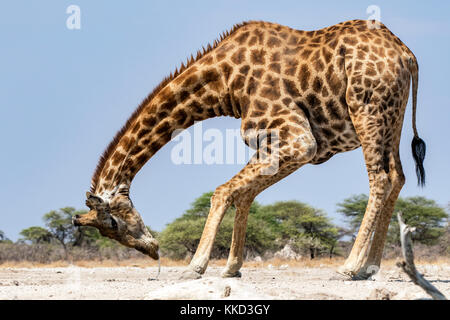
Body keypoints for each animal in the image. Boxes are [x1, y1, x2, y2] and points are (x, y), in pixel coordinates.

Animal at [74, 20, 426, 280]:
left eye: (113, 224)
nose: (153, 249)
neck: (223, 84)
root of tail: (408, 56)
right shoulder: (269, 143)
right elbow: (243, 195)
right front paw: (232, 267)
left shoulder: (299, 140)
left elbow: (222, 191)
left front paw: (196, 266)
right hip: (391, 119)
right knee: (397, 176)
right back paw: (371, 267)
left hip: (368, 111)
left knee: (380, 178)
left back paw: (351, 267)